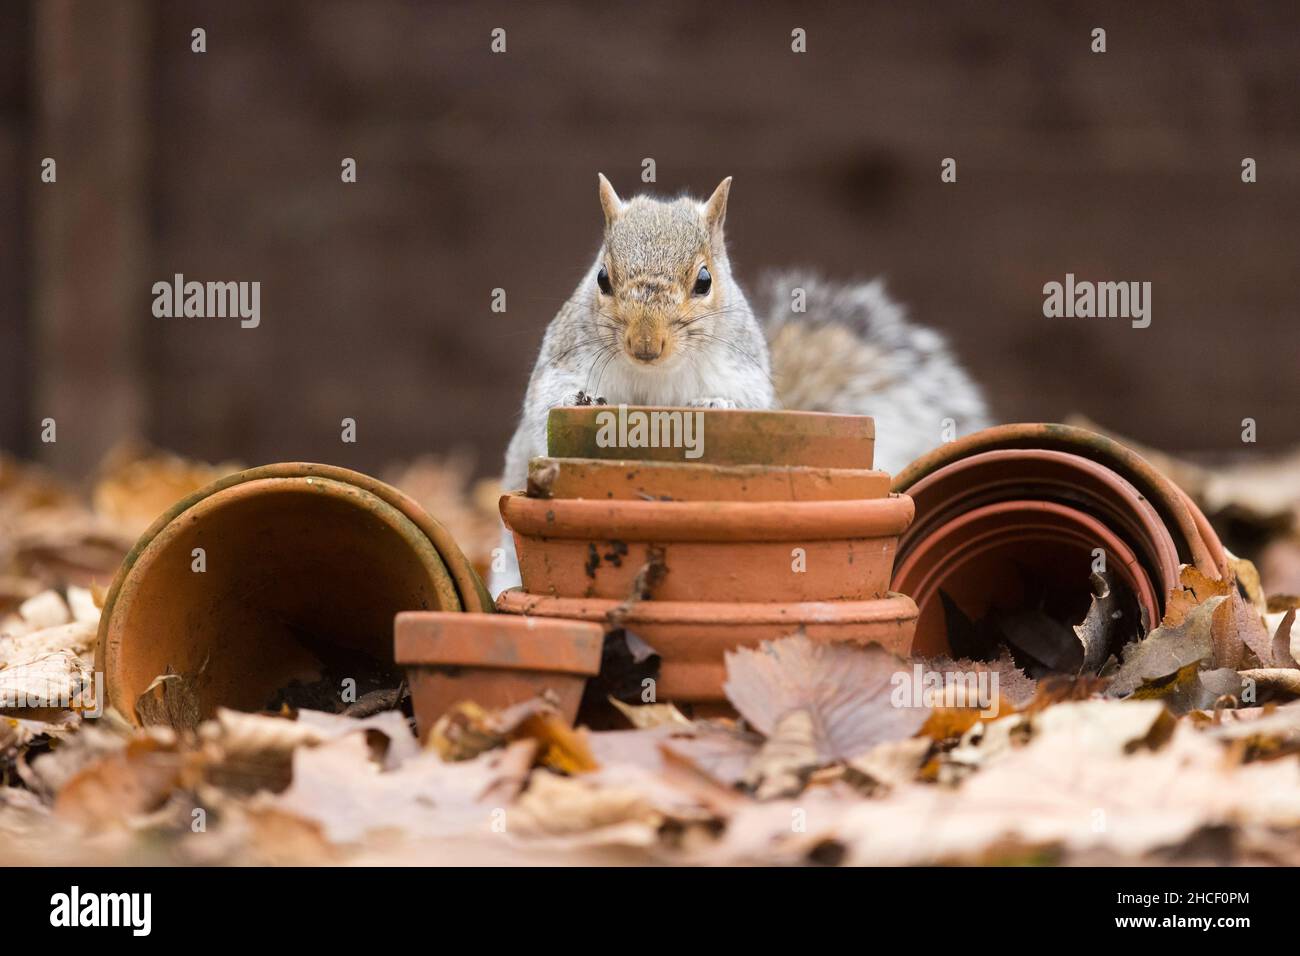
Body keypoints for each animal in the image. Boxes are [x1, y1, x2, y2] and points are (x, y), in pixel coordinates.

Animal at [490, 174, 990, 596]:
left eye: (704, 280)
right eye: (602, 278)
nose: (645, 345)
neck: (655, 374)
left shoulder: (745, 372)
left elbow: (749, 404)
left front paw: (715, 404)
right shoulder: (563, 356)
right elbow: (544, 407)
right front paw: (579, 399)